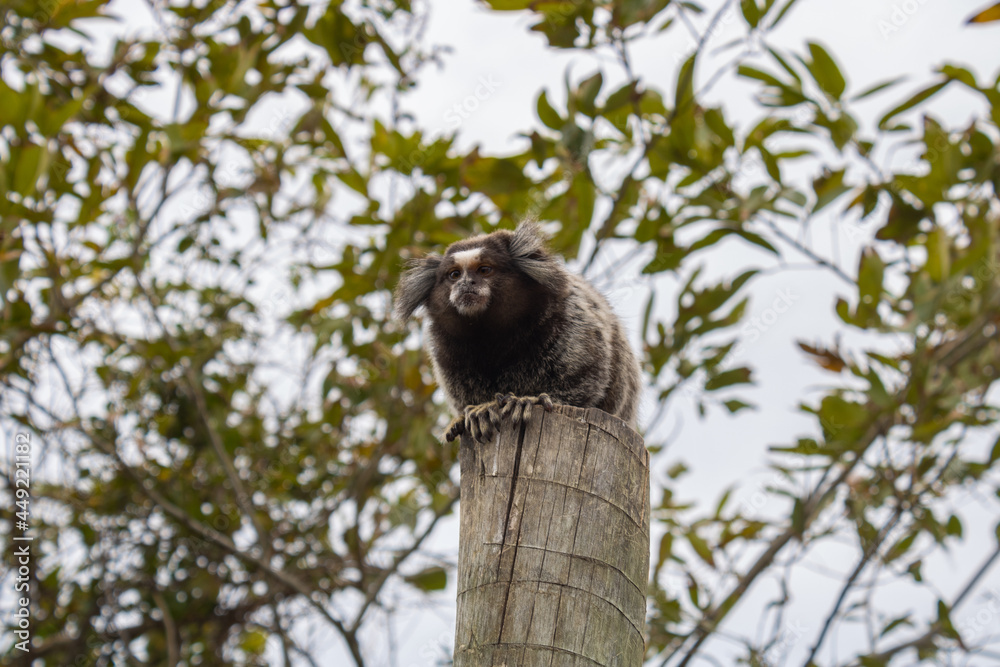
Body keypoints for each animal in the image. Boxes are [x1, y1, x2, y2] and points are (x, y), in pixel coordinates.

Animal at [394, 221, 641, 443]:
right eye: (454, 275)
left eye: (484, 270)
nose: (466, 283)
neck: (493, 333)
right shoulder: (446, 346)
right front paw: (479, 411)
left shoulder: (570, 318)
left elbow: (585, 377)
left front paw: (531, 401)